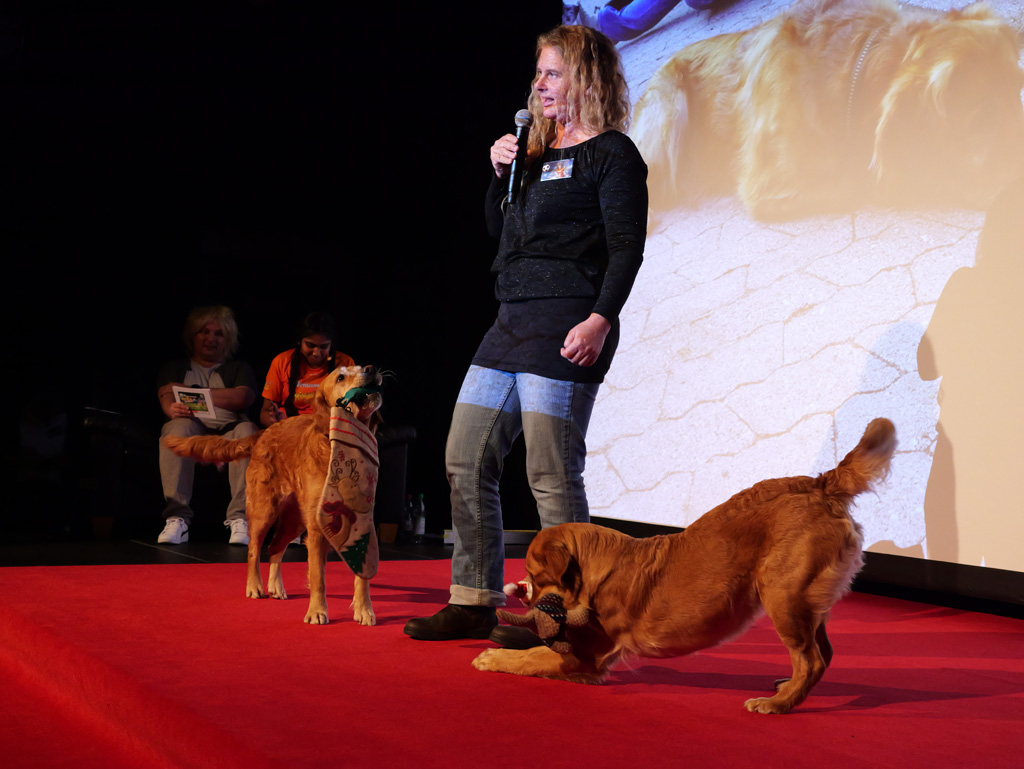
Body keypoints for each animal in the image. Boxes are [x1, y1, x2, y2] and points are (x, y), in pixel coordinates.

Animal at [164, 365, 383, 626]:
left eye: (362, 366)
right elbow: (318, 577)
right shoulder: (317, 528)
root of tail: (263, 433)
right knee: (254, 550)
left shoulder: (364, 522)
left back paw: (275, 586)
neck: (338, 446)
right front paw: (317, 611)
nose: (371, 369)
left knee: (275, 547)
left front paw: (364, 610)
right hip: (264, 511)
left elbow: (362, 575)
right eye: (340, 377)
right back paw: (255, 586)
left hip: (294, 520)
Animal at [473, 418, 896, 714]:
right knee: (823, 654)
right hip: (804, 601)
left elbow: (532, 657)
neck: (595, 569)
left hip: (783, 596)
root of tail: (821, 483)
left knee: (811, 660)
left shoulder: (586, 655)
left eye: (536, 576)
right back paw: (786, 689)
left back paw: (778, 704)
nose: (524, 596)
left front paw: (494, 656)